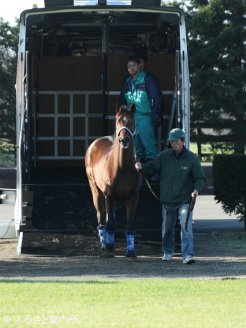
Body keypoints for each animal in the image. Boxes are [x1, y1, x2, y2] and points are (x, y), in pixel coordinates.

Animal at [85, 103, 141, 256]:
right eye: (118, 122)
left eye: (132, 122)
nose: (124, 140)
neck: (123, 167)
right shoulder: (108, 195)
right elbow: (109, 223)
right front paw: (108, 246)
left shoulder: (133, 196)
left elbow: (130, 225)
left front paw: (130, 250)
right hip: (96, 192)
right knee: (102, 218)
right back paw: (104, 243)